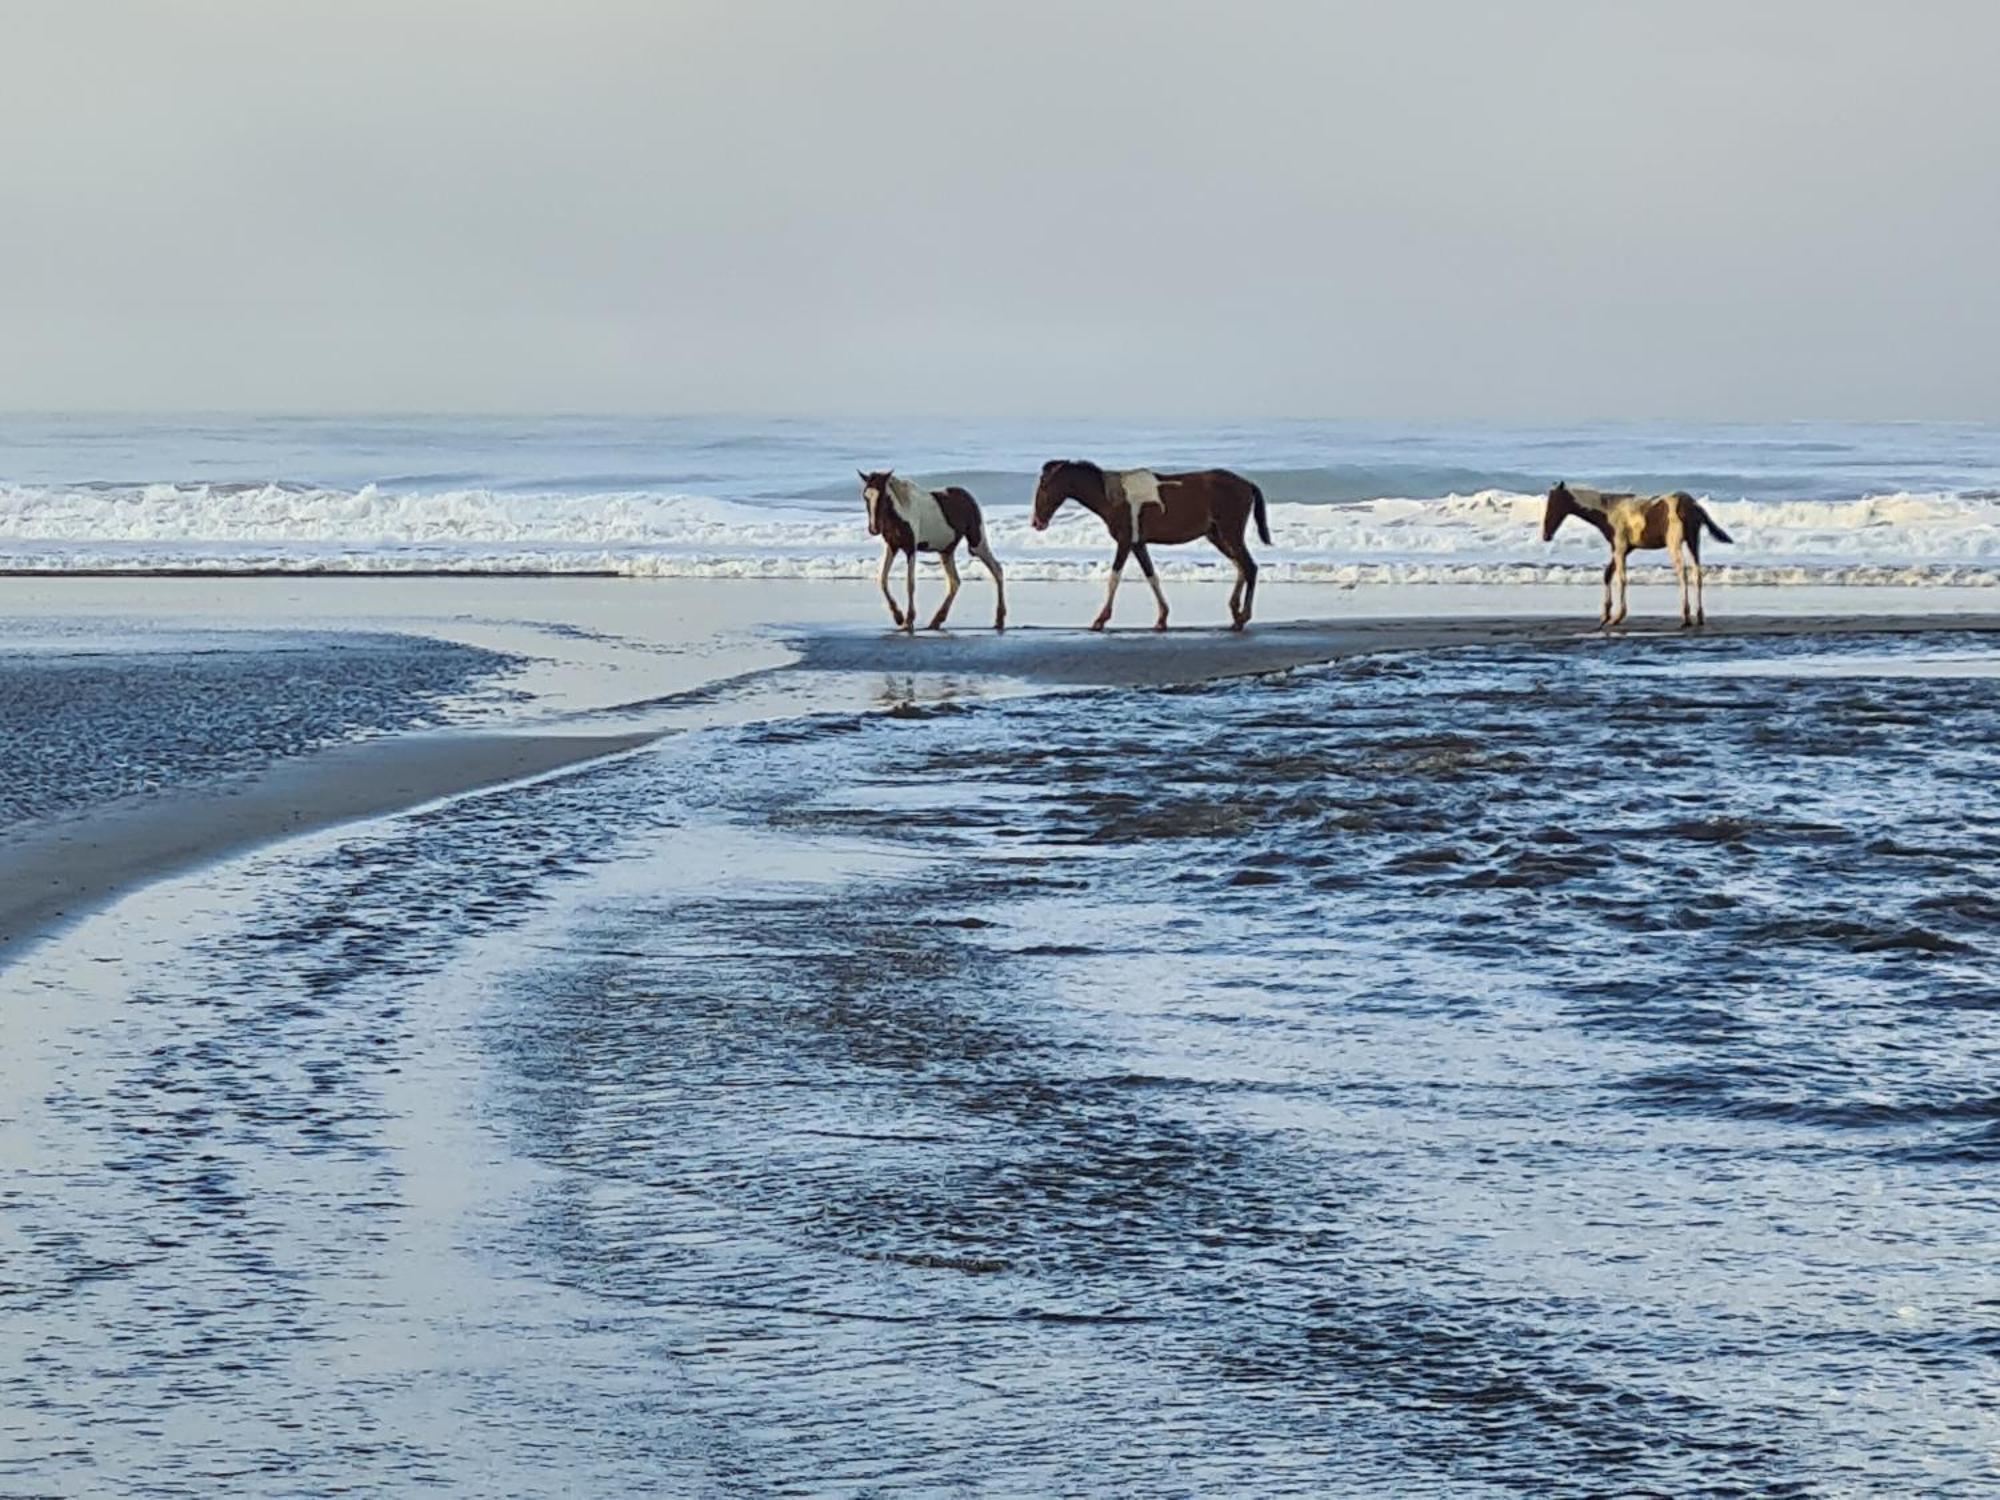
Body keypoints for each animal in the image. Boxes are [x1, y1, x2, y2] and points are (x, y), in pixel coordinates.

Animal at [856, 470, 1008, 636]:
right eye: (865, 496)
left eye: (882, 496)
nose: (874, 528)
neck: (901, 512)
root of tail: (969, 497)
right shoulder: (891, 547)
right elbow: (882, 579)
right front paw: (898, 617)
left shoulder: (911, 549)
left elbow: (910, 584)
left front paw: (908, 621)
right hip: (946, 551)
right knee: (955, 582)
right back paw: (936, 621)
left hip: (977, 542)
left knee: (997, 570)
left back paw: (999, 619)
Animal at [1032, 462, 1264, 632]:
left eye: (1044, 486)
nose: (1036, 522)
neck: (1112, 497)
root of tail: (1247, 484)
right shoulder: (1138, 544)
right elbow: (1151, 576)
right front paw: (1162, 618)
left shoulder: (1125, 541)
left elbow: (1114, 577)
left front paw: (1100, 619)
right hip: (1217, 536)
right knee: (1241, 567)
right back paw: (1235, 612)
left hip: (1230, 533)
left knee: (1249, 567)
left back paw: (1242, 617)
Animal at [1544, 484, 1736, 632]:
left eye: (1554, 504)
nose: (1546, 535)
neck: (1608, 511)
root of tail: (1692, 504)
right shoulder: (1623, 549)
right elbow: (1607, 574)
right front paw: (1605, 615)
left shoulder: (1620, 548)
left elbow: (1621, 579)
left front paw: (1616, 617)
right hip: (1693, 541)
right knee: (1697, 573)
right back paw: (1700, 616)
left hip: (1674, 543)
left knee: (1682, 573)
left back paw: (1686, 616)